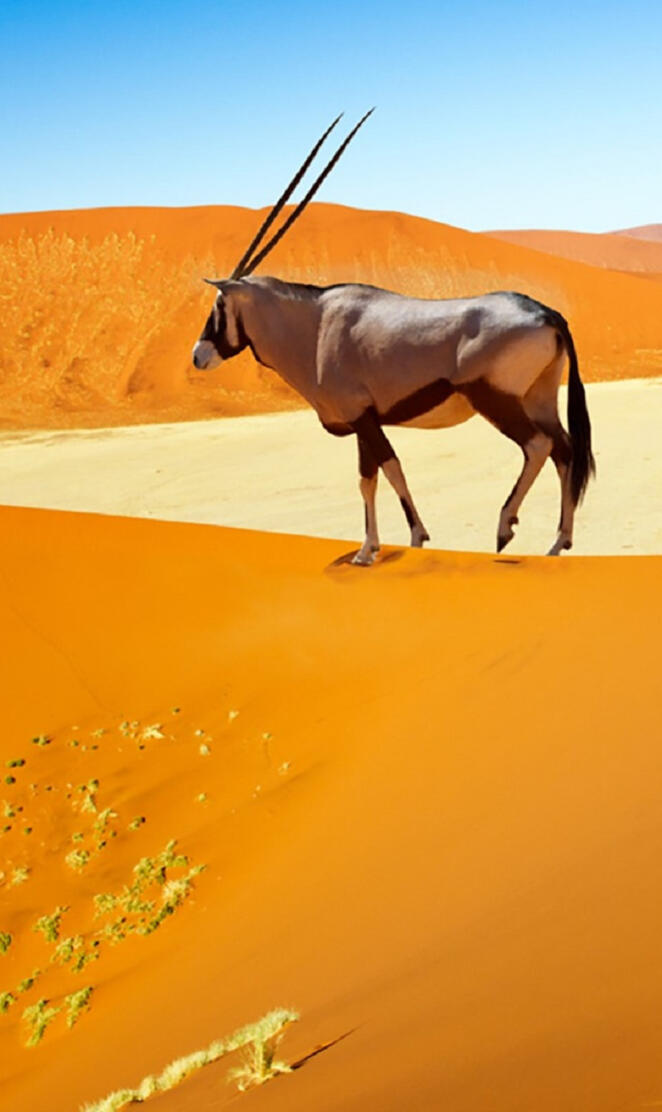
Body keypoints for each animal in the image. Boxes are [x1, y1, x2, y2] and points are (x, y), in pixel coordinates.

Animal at [192, 112, 595, 563]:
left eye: (218, 306)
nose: (198, 355)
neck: (314, 325)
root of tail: (547, 313)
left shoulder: (362, 417)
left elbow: (385, 471)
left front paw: (388, 545)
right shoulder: (364, 421)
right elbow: (375, 476)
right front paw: (387, 543)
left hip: (496, 400)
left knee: (538, 446)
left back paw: (505, 527)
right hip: (538, 398)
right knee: (564, 448)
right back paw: (558, 542)